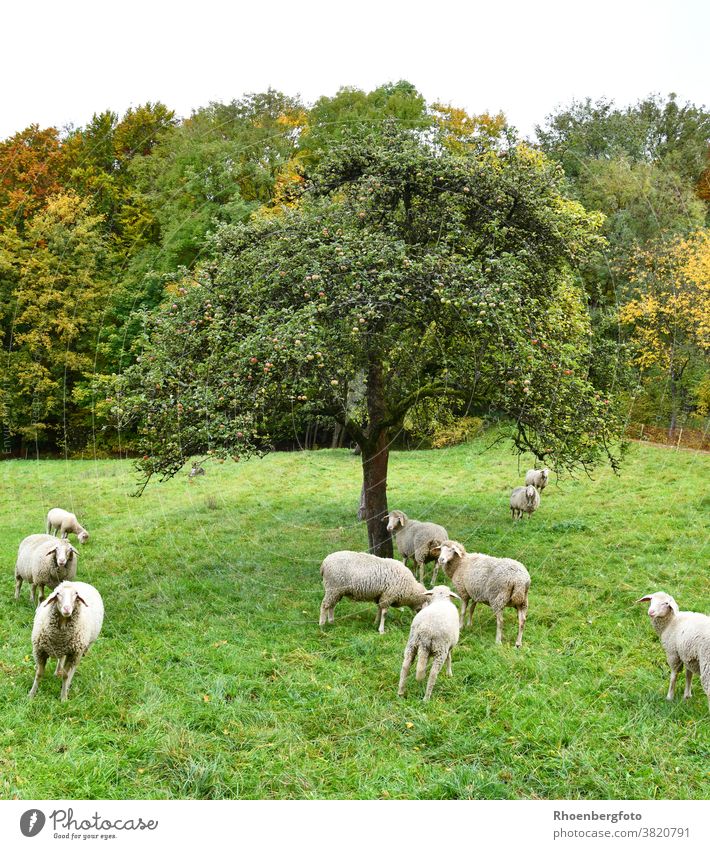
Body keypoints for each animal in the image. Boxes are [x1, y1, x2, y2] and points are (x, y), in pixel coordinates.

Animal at [28, 576, 103, 704]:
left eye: (76, 595)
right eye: (58, 594)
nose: (67, 609)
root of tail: (83, 583)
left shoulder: (74, 653)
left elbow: (66, 676)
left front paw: (63, 698)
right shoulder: (39, 651)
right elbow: (39, 674)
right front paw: (31, 695)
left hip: (81, 650)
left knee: (73, 668)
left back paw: (67, 685)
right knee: (61, 658)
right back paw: (57, 672)